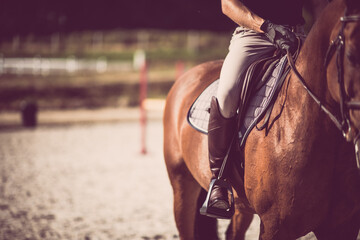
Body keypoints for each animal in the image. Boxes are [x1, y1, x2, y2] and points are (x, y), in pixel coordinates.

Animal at [164, 0, 360, 238]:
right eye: (351, 55)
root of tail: (188, 76)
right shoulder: (275, 225)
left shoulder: (343, 225)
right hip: (182, 186)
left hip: (240, 206)